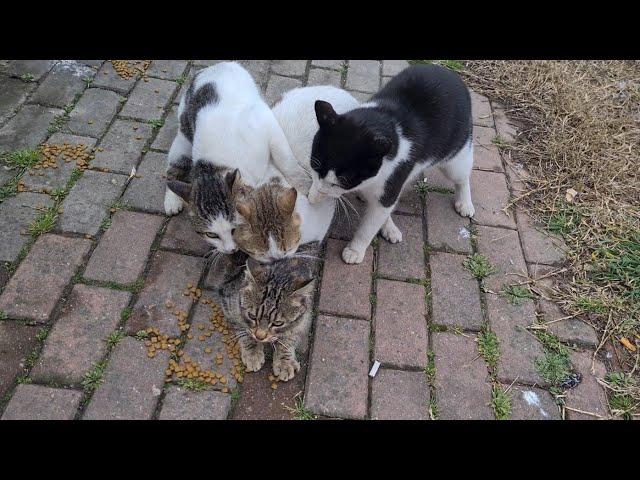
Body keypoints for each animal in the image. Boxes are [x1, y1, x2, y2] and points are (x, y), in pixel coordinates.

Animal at [162, 62, 308, 255]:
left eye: (234, 228)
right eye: (212, 235)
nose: (231, 250)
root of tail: (210, 67)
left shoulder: (266, 123)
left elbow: (285, 159)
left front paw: (302, 184)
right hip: (183, 138)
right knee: (173, 168)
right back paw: (171, 199)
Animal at [216, 244, 318, 382]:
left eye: (278, 323)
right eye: (252, 316)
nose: (260, 337)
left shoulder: (305, 317)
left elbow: (288, 338)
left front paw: (284, 361)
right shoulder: (229, 302)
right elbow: (243, 329)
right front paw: (252, 351)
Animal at [304, 63, 476, 264]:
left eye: (343, 181)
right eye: (315, 166)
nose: (321, 191)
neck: (381, 119)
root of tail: (452, 74)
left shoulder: (392, 181)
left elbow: (370, 225)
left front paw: (355, 249)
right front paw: (314, 195)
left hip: (456, 158)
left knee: (462, 178)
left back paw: (465, 202)